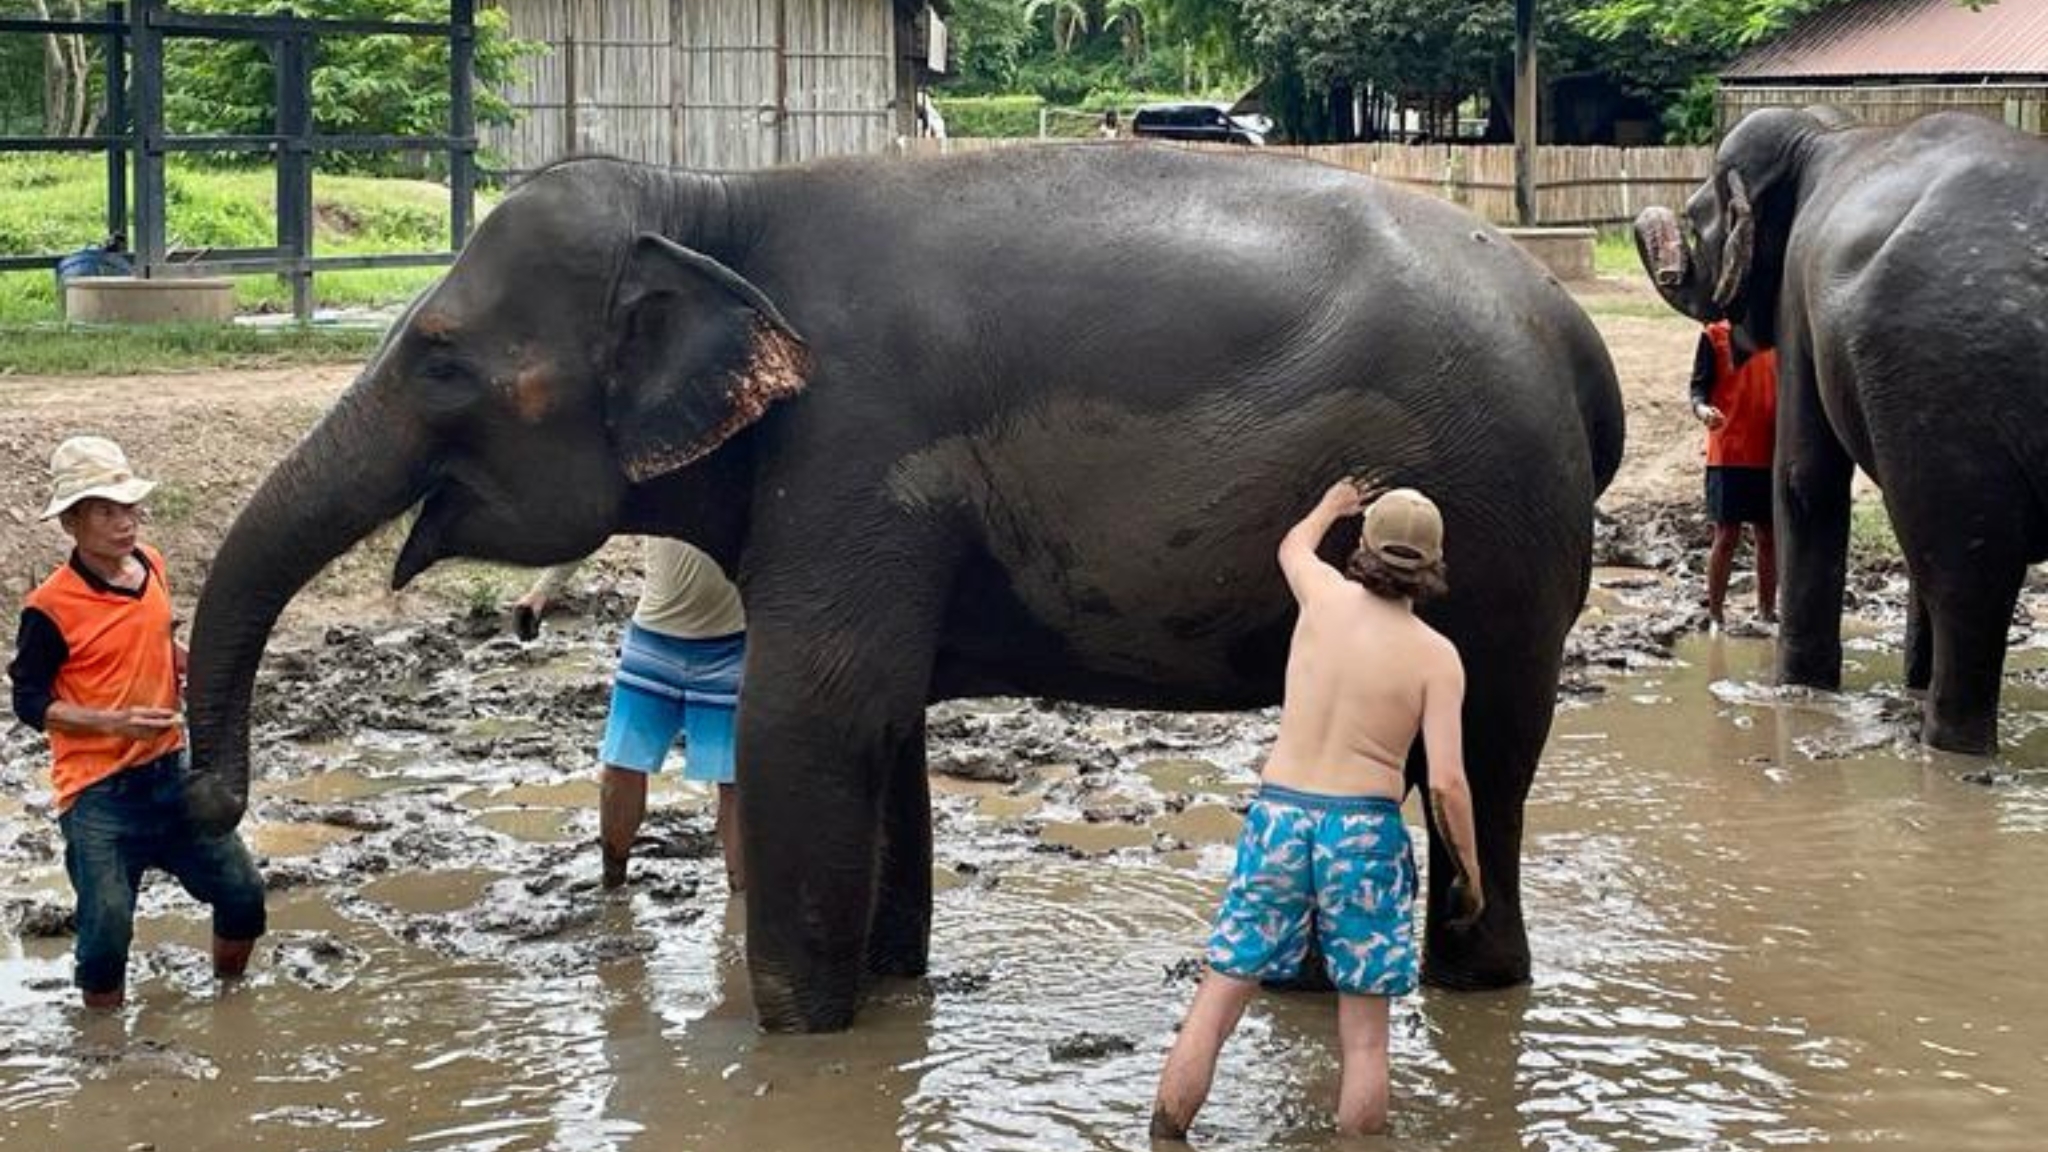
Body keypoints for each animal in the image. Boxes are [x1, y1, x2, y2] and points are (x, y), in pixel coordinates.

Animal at [182, 145, 1624, 1031]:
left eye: (436, 359)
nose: (208, 799)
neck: (705, 203)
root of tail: (1572, 328)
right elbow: (880, 733)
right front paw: (885, 1002)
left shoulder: (858, 449)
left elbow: (807, 721)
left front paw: (797, 1041)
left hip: (1493, 518)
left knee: (1485, 753)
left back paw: (1472, 992)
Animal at [1635, 108, 2048, 754]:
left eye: (1698, 222)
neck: (1824, 135)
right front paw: (1902, 685)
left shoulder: (1797, 292)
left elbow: (1804, 480)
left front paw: (1796, 690)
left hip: (1942, 384)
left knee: (1966, 573)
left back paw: (1945, 745)